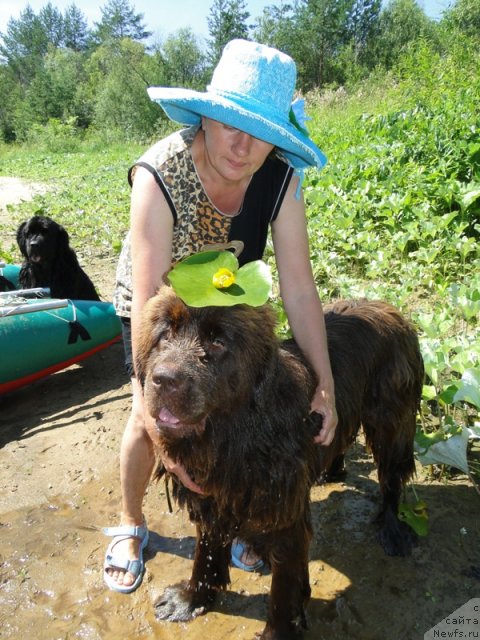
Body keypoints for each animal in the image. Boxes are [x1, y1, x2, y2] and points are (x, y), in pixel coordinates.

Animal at [135, 290, 424, 640]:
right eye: (165, 334)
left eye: (218, 342)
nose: (164, 380)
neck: (234, 437)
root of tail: (391, 308)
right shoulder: (211, 498)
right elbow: (205, 551)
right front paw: (190, 600)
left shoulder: (286, 516)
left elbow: (283, 589)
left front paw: (280, 628)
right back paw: (332, 471)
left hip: (392, 418)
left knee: (392, 476)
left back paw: (392, 530)